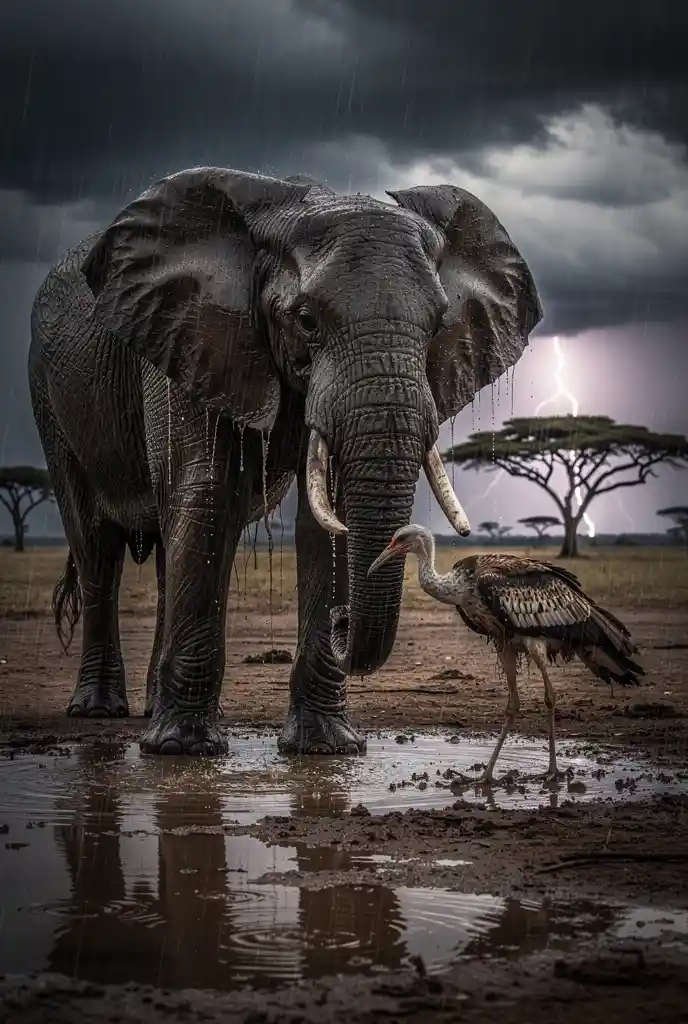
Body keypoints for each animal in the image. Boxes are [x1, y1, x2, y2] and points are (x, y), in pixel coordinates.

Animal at [28, 166, 542, 757]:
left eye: (438, 325)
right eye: (307, 320)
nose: (345, 623)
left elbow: (327, 516)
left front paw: (325, 748)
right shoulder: (191, 336)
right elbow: (208, 497)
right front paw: (183, 750)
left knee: (160, 550)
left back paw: (153, 709)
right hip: (49, 396)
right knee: (95, 545)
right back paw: (100, 710)